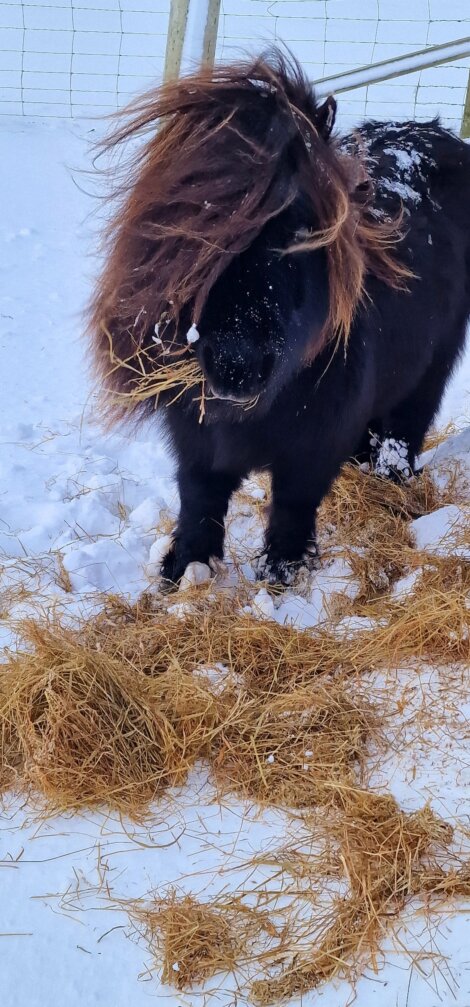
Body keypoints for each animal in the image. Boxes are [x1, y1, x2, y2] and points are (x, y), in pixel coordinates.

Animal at [91, 55, 470, 588]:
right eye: (195, 231)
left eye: (302, 232)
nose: (237, 367)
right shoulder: (195, 434)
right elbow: (199, 496)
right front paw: (186, 570)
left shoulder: (313, 442)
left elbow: (293, 502)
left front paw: (282, 572)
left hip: (434, 364)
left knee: (406, 428)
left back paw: (390, 484)